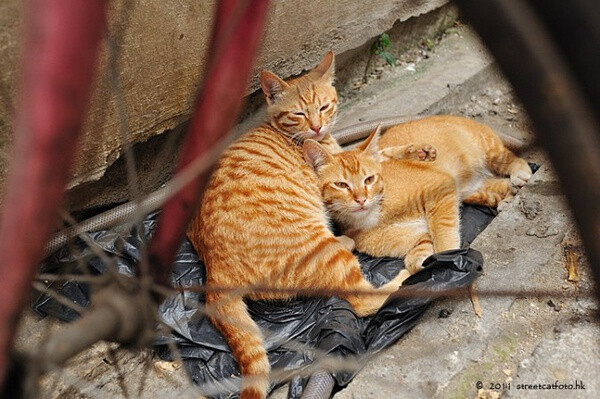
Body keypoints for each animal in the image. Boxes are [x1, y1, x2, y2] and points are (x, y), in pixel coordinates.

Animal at [190, 52, 420, 399]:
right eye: (299, 113)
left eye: (324, 107)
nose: (317, 126)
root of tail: (215, 270)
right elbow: (375, 159)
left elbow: (377, 153)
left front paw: (417, 149)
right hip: (322, 249)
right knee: (364, 300)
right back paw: (408, 276)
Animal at [304, 115, 528, 278]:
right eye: (341, 185)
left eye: (369, 179)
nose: (361, 199)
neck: (375, 214)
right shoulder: (415, 235)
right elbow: (415, 256)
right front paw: (424, 264)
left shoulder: (441, 190)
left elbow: (444, 237)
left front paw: (450, 258)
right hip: (472, 191)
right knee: (499, 185)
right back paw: (508, 197)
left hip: (487, 151)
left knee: (513, 160)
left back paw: (520, 174)